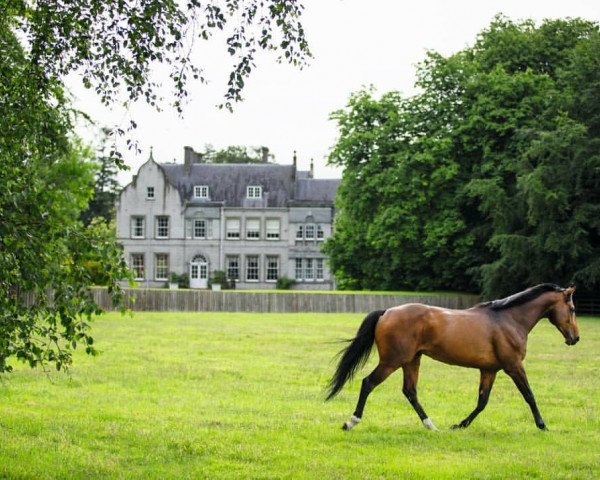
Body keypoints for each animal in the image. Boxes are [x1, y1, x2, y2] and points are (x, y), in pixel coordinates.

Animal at [326, 284, 580, 432]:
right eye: (573, 309)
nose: (575, 338)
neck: (508, 319)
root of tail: (387, 312)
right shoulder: (513, 366)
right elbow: (529, 395)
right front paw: (542, 425)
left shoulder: (489, 370)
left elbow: (482, 402)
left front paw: (460, 425)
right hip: (392, 361)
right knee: (368, 383)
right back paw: (351, 422)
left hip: (411, 361)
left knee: (410, 392)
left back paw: (431, 426)